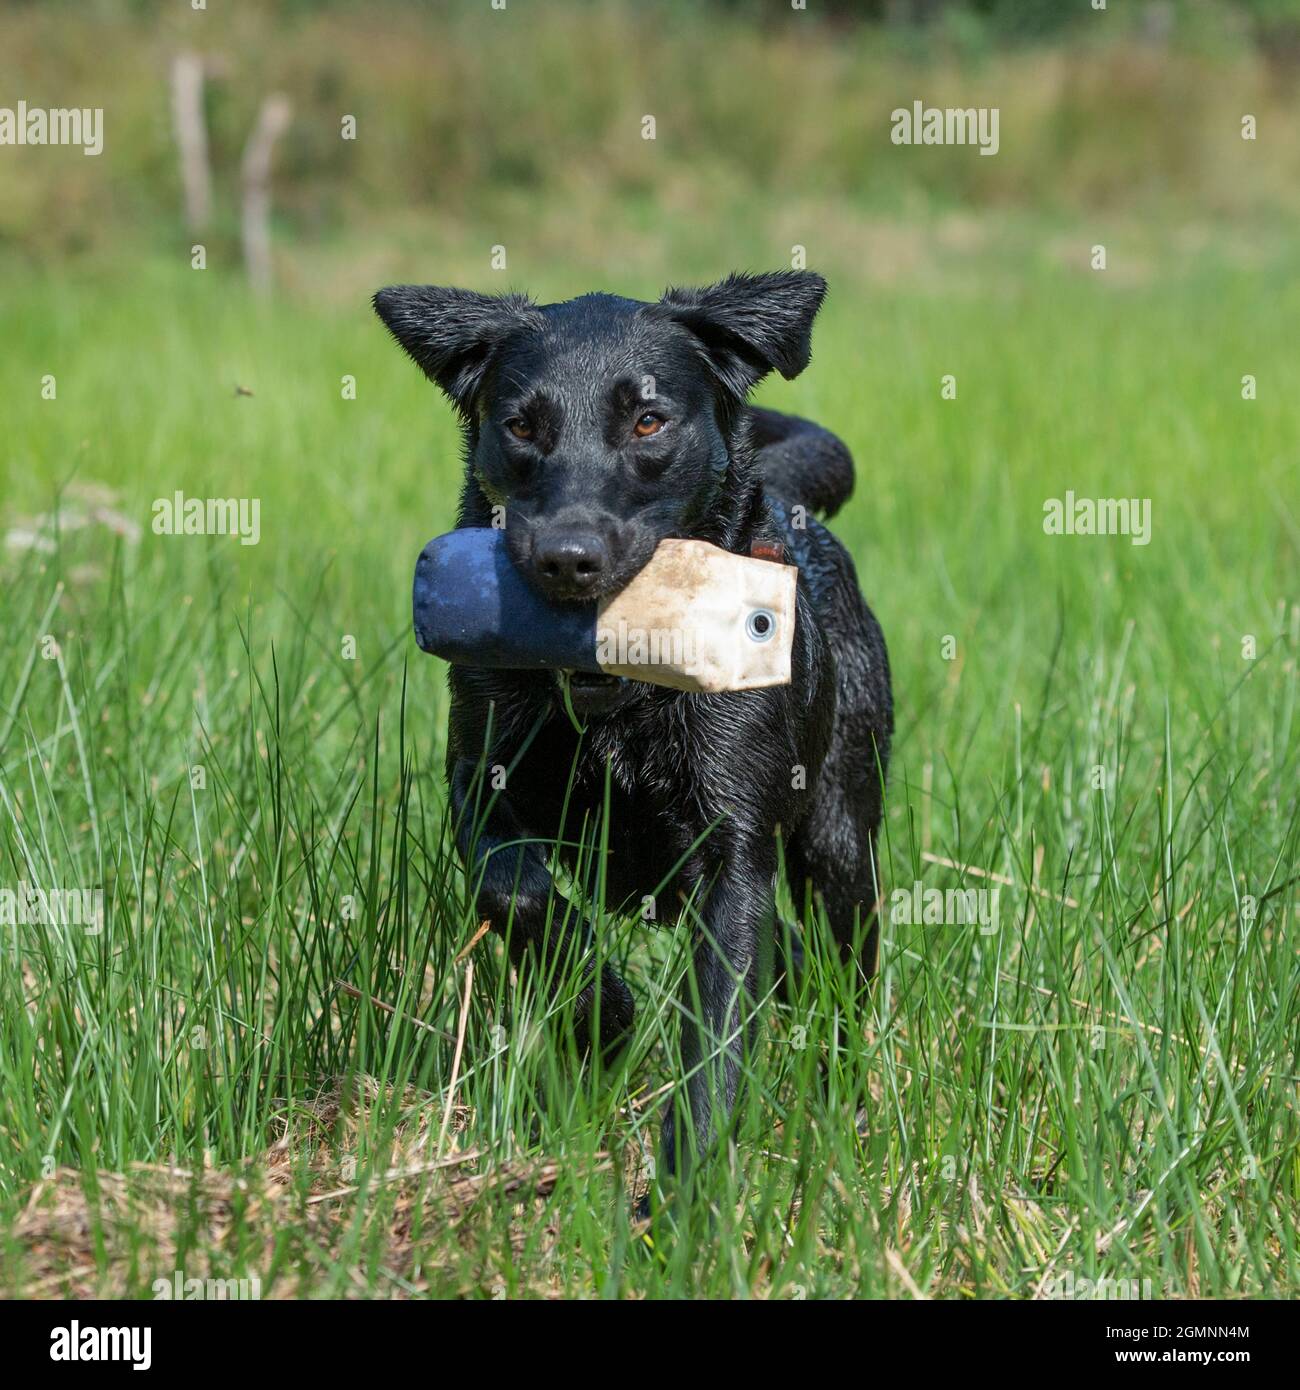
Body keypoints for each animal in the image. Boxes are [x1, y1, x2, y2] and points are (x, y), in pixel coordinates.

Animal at [369, 268, 889, 1184]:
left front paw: (686, 1190)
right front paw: (602, 1014)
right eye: (521, 426)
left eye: (648, 420)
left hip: (839, 836)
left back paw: (841, 1099)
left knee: (838, 967)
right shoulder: (478, 778)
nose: (567, 559)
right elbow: (512, 890)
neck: (618, 699)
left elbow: (716, 1031)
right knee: (791, 955)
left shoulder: (733, 847)